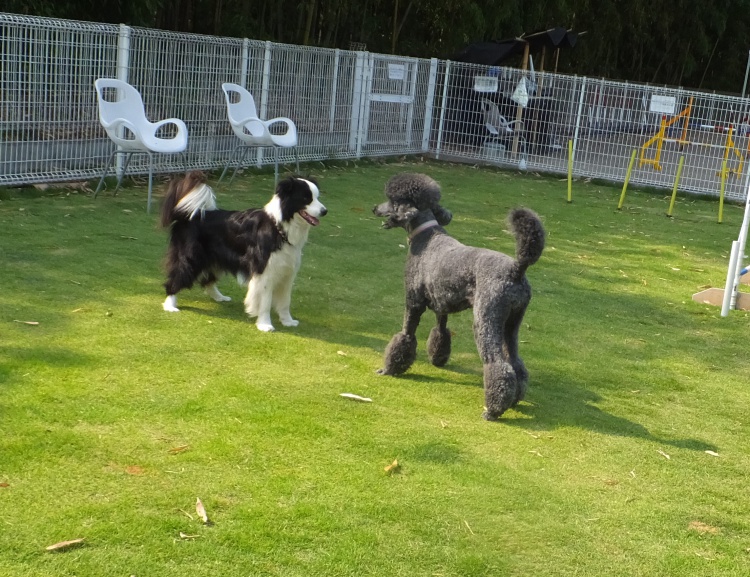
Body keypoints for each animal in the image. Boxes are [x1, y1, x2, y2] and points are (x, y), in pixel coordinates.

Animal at [160, 171, 327, 331]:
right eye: (306, 198)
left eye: (317, 197)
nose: (324, 211)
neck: (279, 226)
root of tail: (191, 215)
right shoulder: (265, 271)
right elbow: (265, 301)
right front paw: (265, 325)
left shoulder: (287, 273)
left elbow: (285, 301)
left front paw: (288, 321)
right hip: (190, 259)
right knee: (176, 278)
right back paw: (170, 305)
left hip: (216, 260)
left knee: (207, 281)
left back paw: (219, 297)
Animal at [373, 173, 545, 420]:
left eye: (391, 199)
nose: (374, 208)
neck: (426, 237)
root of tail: (516, 269)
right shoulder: (441, 305)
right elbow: (441, 331)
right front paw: (437, 358)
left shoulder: (413, 303)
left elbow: (405, 336)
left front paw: (389, 369)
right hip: (511, 324)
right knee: (516, 363)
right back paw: (514, 399)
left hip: (485, 321)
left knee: (497, 364)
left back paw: (493, 410)